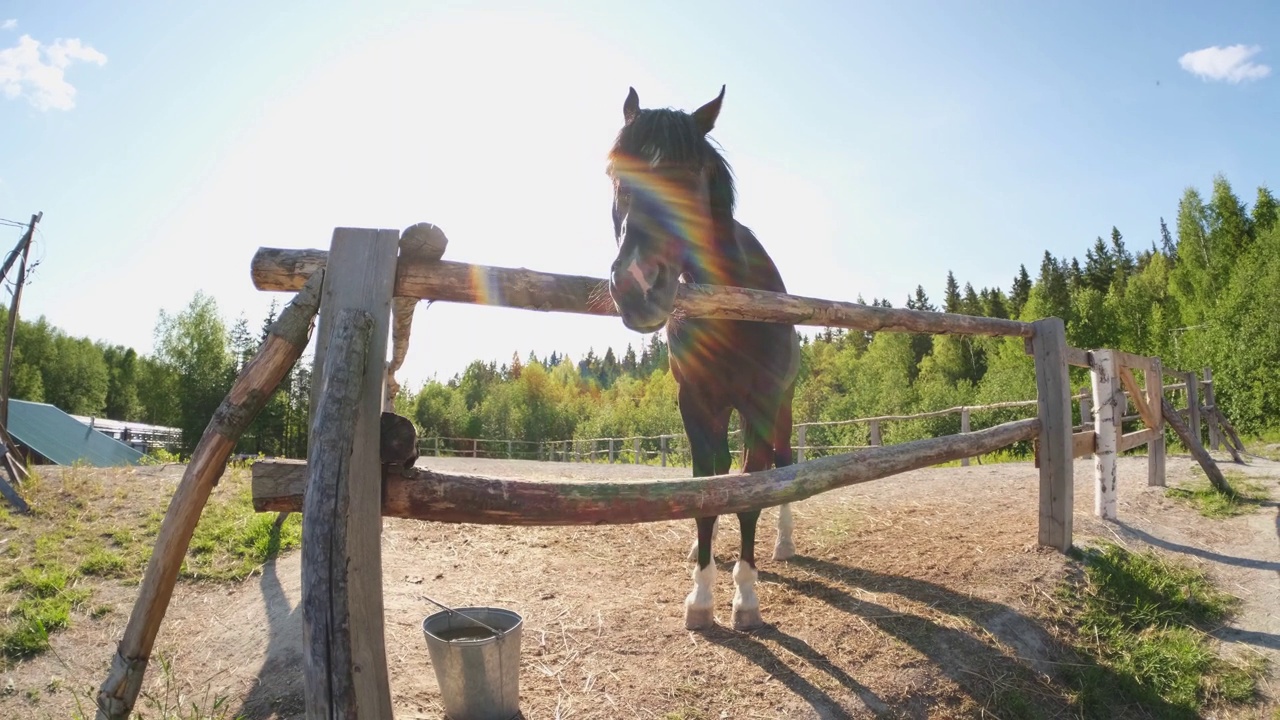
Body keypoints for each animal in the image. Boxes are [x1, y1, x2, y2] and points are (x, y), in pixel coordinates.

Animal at [601, 85, 798, 627]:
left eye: (690, 174)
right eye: (614, 172)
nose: (637, 284)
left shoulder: (760, 402)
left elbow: (752, 493)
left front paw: (745, 597)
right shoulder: (695, 401)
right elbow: (704, 487)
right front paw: (701, 593)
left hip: (781, 408)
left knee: (785, 464)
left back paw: (784, 543)